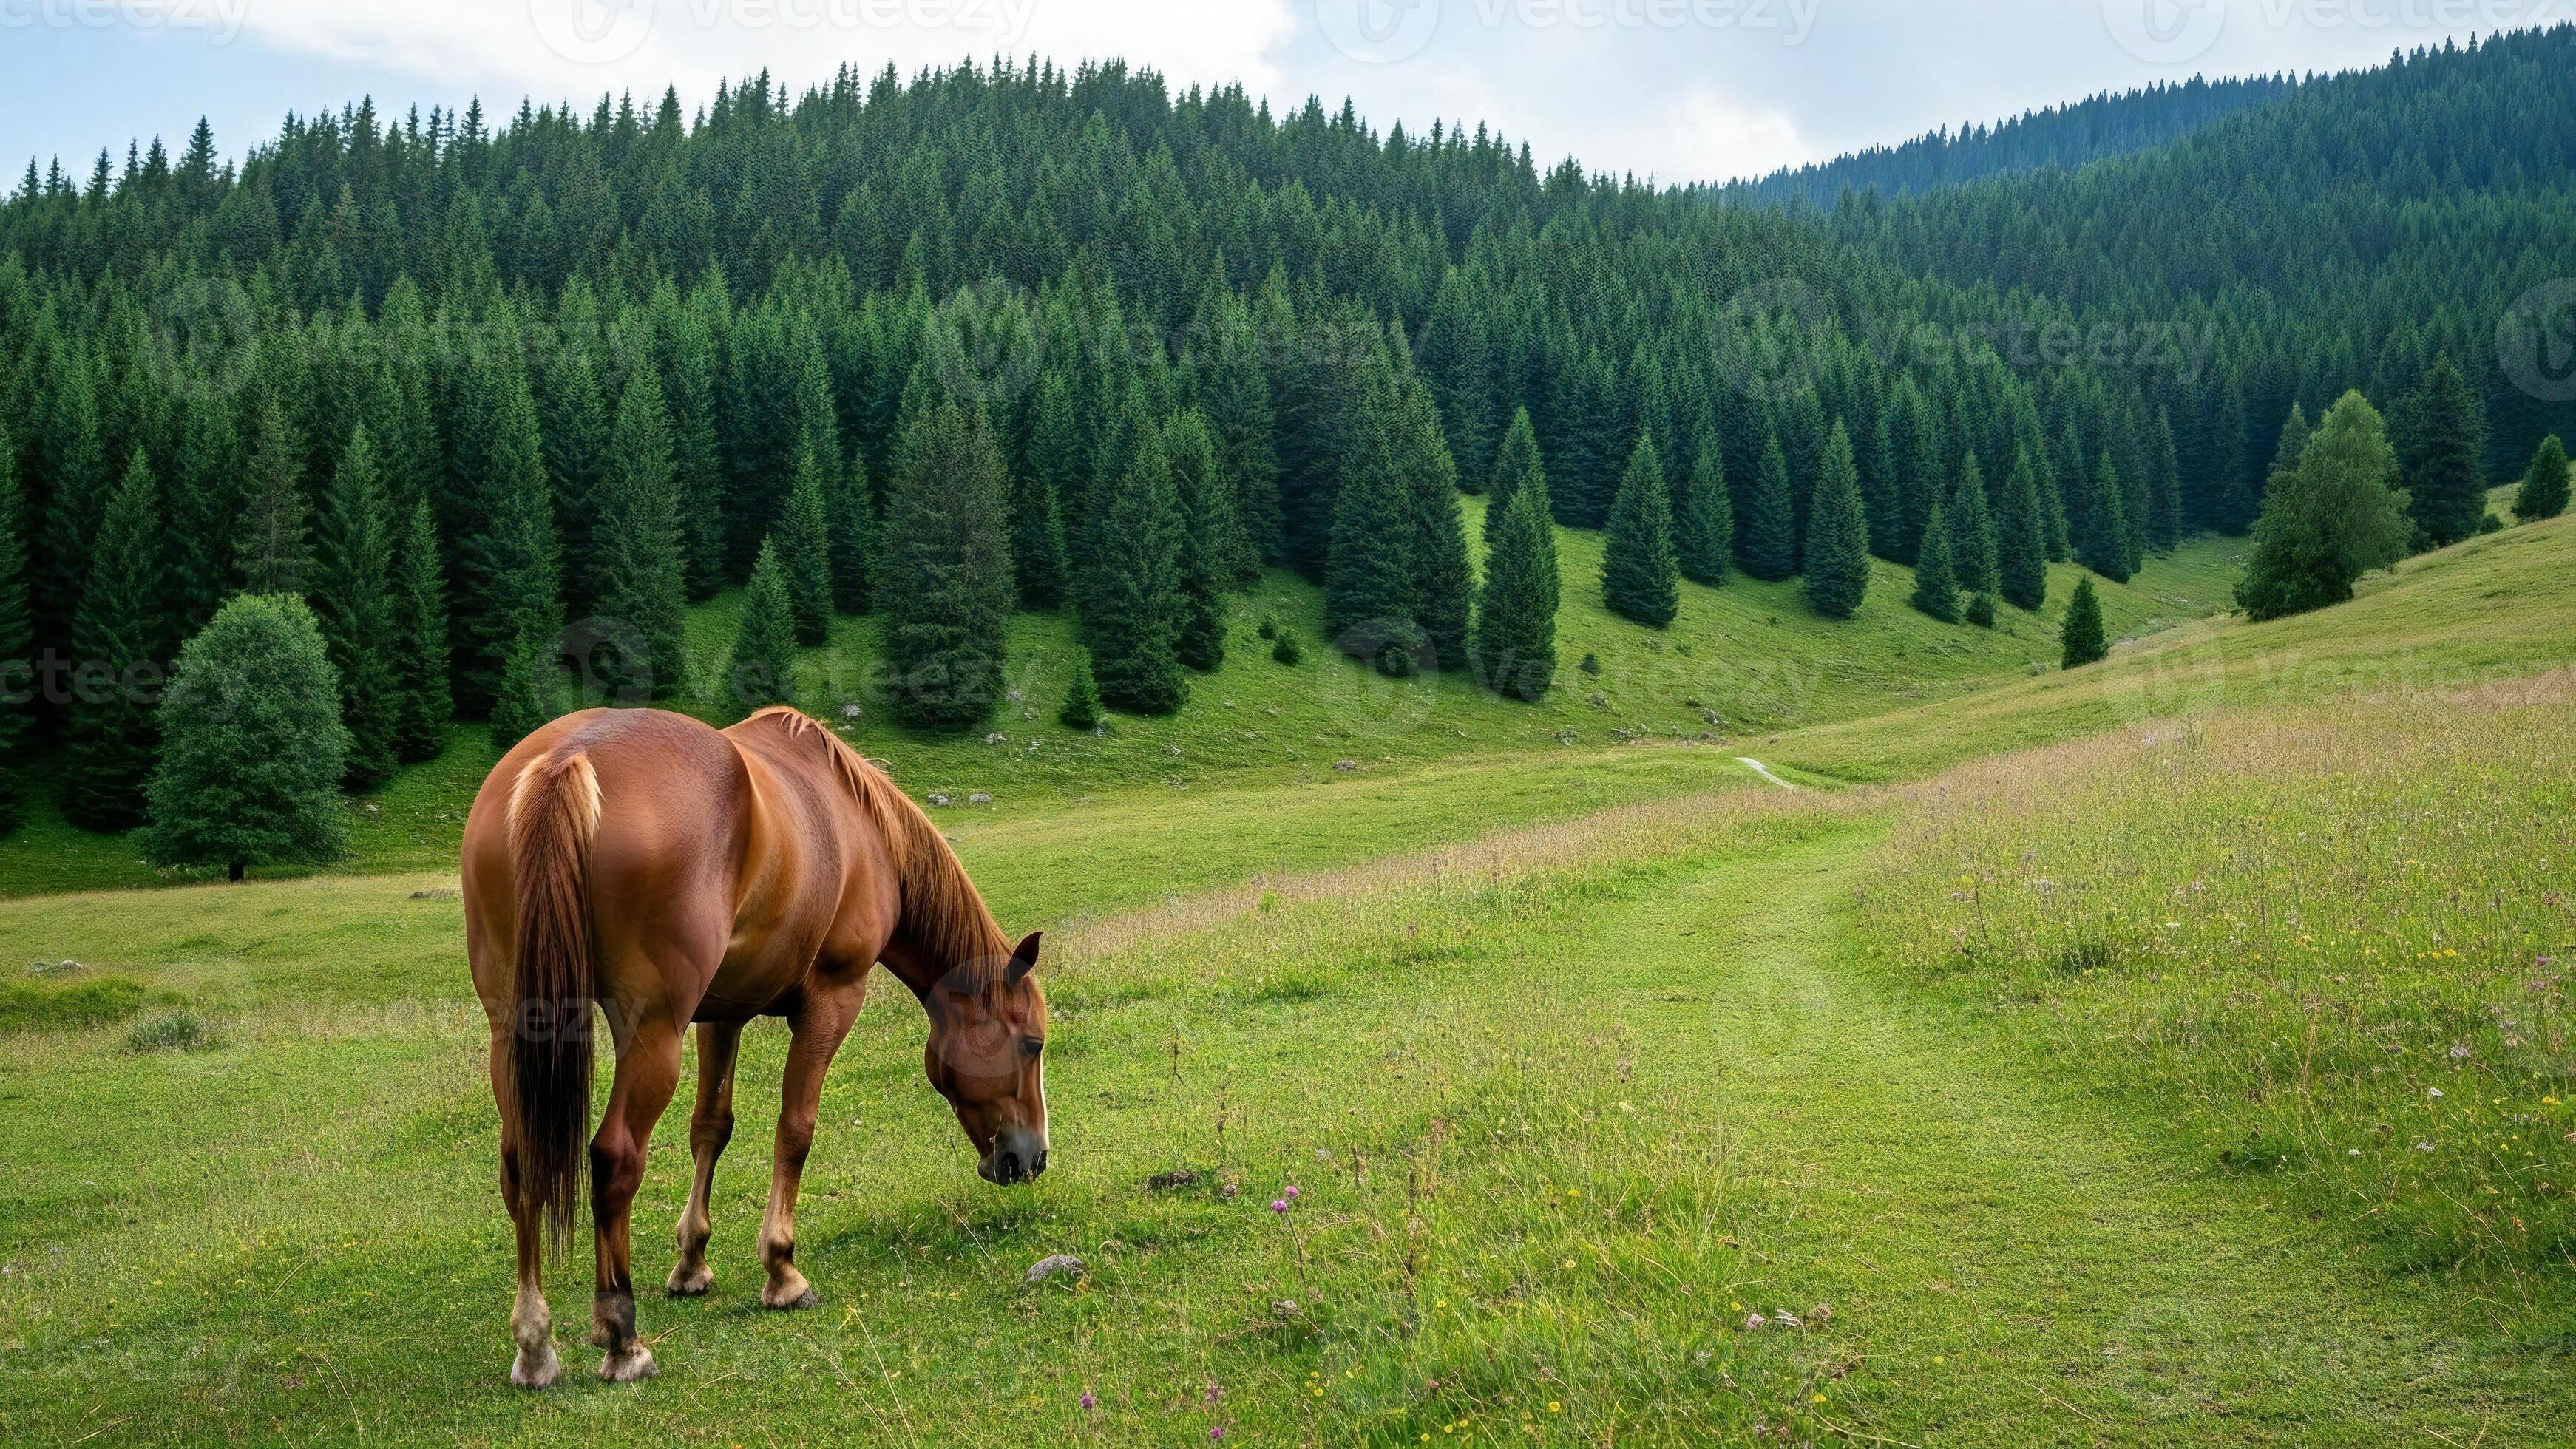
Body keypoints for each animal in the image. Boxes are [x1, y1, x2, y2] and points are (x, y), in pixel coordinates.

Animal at [461, 705, 1050, 1387]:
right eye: (1033, 1043)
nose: (1033, 1157)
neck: (865, 833)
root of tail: (567, 761)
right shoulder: (830, 1004)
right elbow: (795, 1131)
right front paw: (782, 1270)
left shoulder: (722, 1016)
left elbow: (711, 1128)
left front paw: (692, 1263)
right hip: (652, 1034)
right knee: (615, 1159)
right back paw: (622, 1338)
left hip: (515, 1030)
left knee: (521, 1164)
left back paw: (535, 1346)